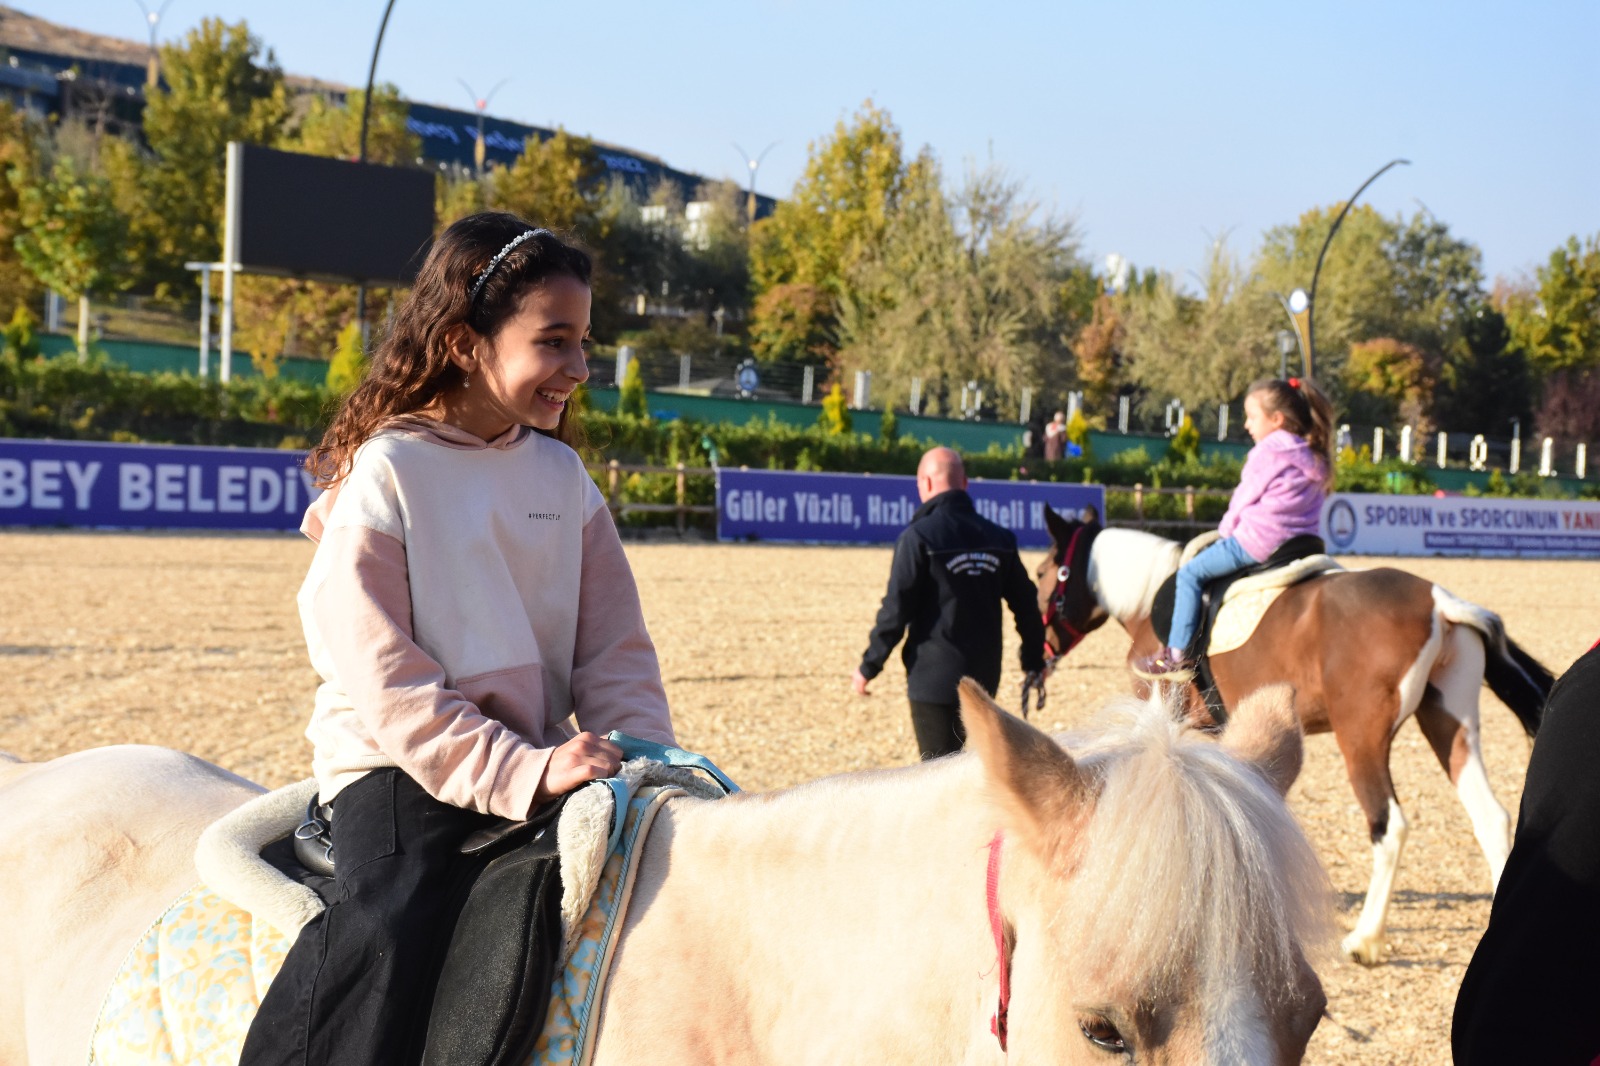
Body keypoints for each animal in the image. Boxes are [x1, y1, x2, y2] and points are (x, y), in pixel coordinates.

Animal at [1030, 505, 1555, 960]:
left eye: (1041, 573)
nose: (1040, 651)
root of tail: (1438, 601)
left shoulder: (1160, 713)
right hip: (1450, 722)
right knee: (1491, 818)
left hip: (1361, 739)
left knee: (1389, 828)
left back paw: (1364, 939)